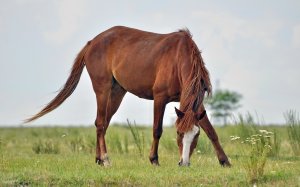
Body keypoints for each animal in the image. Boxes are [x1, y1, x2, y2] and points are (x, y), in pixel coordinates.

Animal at [26, 25, 232, 167]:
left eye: (195, 136)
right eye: (179, 134)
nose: (184, 163)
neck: (178, 58)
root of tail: (92, 42)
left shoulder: (194, 105)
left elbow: (211, 131)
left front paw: (225, 161)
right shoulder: (160, 98)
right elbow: (157, 130)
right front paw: (154, 160)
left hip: (117, 93)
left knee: (103, 123)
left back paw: (98, 159)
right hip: (102, 89)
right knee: (100, 123)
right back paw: (106, 159)